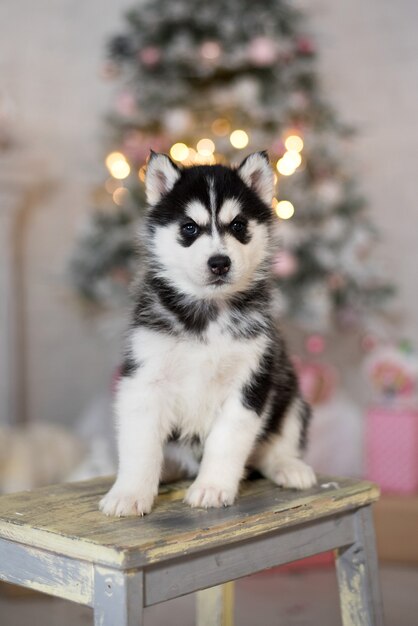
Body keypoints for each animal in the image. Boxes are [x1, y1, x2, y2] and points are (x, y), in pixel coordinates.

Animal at [100, 149, 316, 516]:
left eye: (238, 225)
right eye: (189, 227)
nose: (219, 263)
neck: (208, 312)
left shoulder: (252, 379)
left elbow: (227, 441)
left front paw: (212, 488)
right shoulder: (144, 379)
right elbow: (141, 445)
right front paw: (129, 493)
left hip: (291, 394)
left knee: (275, 444)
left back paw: (289, 466)